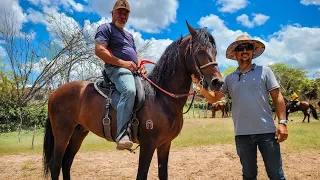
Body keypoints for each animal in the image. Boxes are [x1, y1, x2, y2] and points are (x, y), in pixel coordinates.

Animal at [42, 22, 222, 180]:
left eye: (215, 51)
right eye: (200, 50)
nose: (217, 82)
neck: (161, 98)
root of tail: (54, 93)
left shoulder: (165, 144)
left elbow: (163, 174)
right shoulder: (148, 145)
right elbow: (141, 175)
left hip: (78, 132)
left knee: (66, 163)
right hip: (62, 133)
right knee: (56, 166)